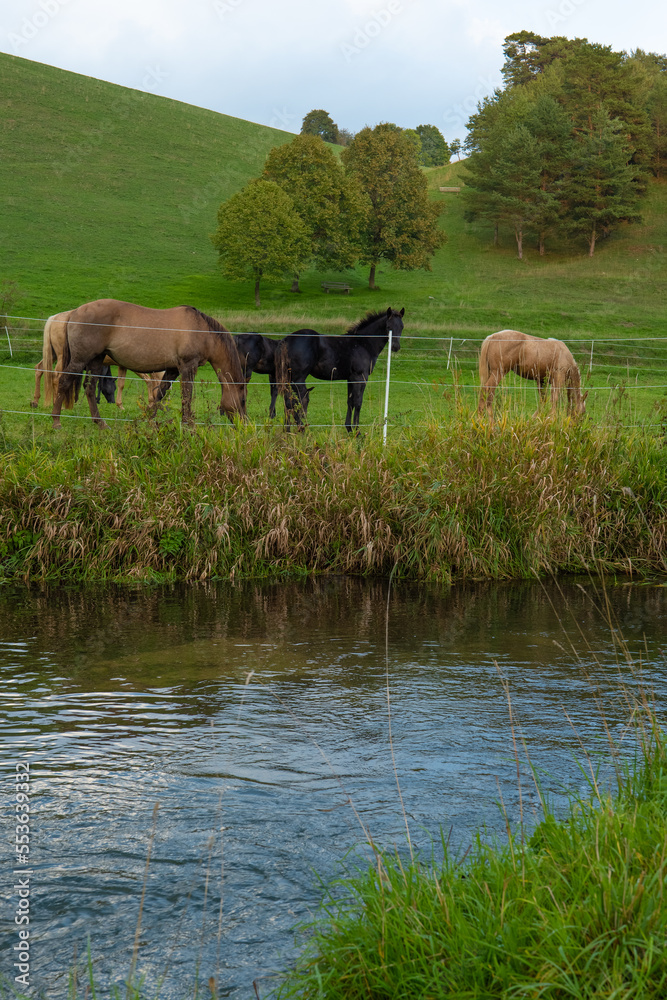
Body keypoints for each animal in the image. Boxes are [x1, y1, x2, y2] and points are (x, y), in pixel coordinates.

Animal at [51, 299, 247, 429]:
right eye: (243, 400)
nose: (244, 425)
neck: (201, 330)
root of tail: (74, 312)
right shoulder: (187, 367)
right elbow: (186, 396)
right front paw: (188, 424)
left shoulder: (173, 369)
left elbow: (159, 393)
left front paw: (149, 420)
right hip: (80, 360)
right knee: (63, 382)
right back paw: (56, 421)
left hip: (96, 360)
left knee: (90, 388)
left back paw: (100, 423)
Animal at [275, 308, 405, 432]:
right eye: (388, 327)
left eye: (402, 327)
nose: (396, 347)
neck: (363, 344)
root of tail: (285, 340)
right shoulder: (360, 376)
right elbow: (358, 402)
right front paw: (357, 431)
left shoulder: (351, 378)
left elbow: (350, 401)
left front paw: (349, 428)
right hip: (298, 378)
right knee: (299, 400)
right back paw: (301, 429)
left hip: (288, 378)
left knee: (288, 402)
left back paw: (288, 431)